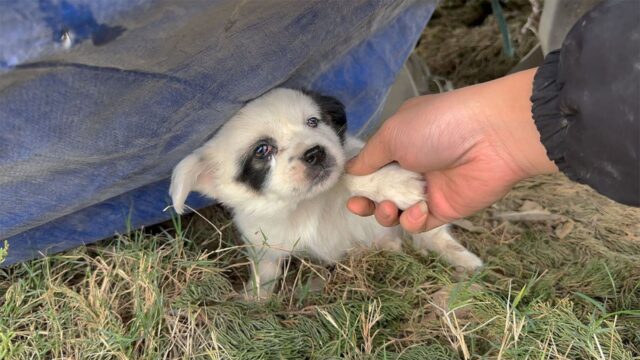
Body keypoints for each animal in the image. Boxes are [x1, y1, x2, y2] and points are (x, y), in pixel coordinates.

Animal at [170, 88, 480, 298]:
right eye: (262, 150)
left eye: (313, 122)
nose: (315, 153)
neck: (304, 205)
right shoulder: (265, 242)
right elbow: (265, 271)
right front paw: (254, 300)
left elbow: (347, 172)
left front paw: (393, 184)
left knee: (436, 238)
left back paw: (465, 261)